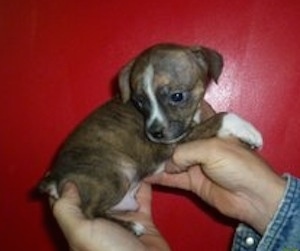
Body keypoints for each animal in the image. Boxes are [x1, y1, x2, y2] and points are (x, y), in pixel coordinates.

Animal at [39, 43, 262, 235]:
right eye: (139, 102)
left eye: (177, 96)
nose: (154, 133)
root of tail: (53, 180)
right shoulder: (174, 142)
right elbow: (221, 117)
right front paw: (248, 130)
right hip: (116, 174)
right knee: (90, 212)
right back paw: (132, 227)